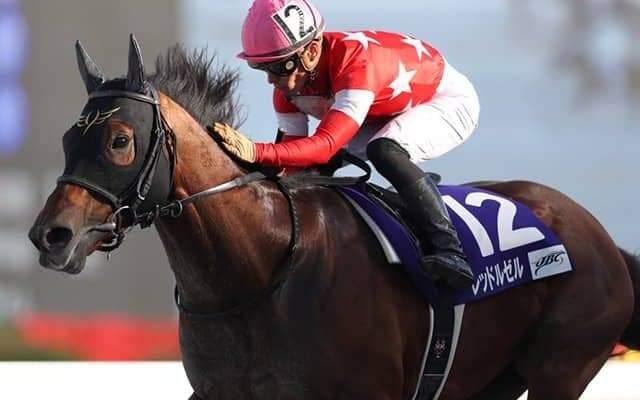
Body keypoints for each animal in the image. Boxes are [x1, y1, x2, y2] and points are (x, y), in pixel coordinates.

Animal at [28, 35, 640, 400]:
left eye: (120, 140)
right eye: (66, 140)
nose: (50, 236)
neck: (259, 270)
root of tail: (599, 235)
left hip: (562, 365)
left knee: (390, 149)